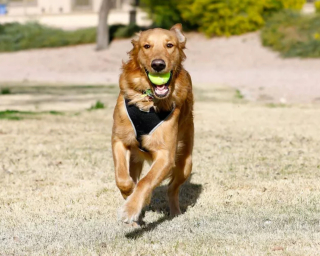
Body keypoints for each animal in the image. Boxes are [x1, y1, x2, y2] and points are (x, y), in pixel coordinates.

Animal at [111, 24, 194, 224]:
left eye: (169, 45)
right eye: (146, 46)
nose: (158, 64)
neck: (148, 101)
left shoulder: (166, 155)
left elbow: (146, 181)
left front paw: (131, 209)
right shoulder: (119, 139)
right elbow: (122, 178)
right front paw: (129, 195)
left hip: (186, 163)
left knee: (172, 189)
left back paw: (174, 212)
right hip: (135, 158)